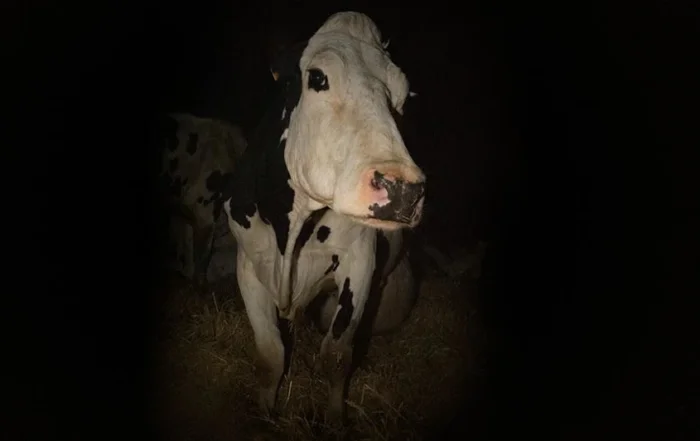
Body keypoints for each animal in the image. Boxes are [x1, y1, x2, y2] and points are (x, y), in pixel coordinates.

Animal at [222, 11, 426, 423]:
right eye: (317, 77)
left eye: (401, 96)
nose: (403, 190)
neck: (291, 229)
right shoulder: (247, 263)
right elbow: (270, 354)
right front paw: (265, 415)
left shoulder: (359, 262)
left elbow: (336, 355)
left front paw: (334, 421)